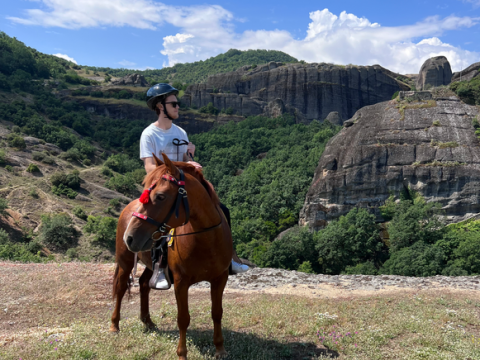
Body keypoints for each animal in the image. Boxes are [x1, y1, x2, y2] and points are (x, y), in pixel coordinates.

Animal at [111, 153, 234, 358]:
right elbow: (183, 318)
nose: (129, 237)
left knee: (144, 284)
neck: (206, 240)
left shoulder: (220, 278)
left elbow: (217, 312)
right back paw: (114, 325)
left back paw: (147, 321)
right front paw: (182, 354)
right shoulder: (181, 282)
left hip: (151, 263)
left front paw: (220, 348)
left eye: (160, 196)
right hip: (125, 262)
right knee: (120, 288)